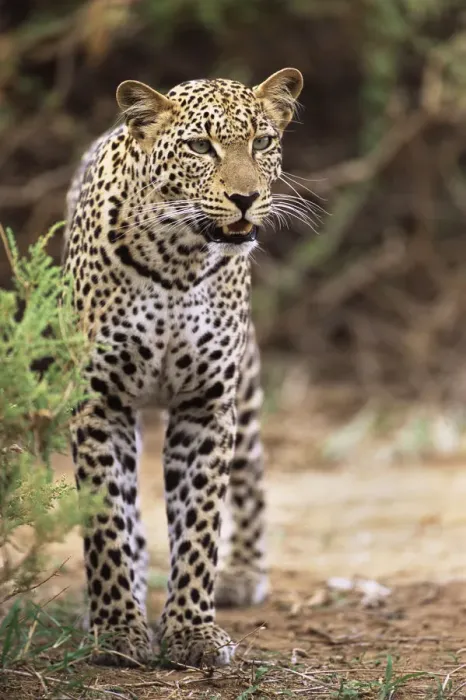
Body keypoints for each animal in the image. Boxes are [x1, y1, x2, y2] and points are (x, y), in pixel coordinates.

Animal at [63, 67, 303, 668]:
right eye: (200, 147)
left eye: (262, 142)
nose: (245, 198)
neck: (177, 257)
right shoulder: (100, 401)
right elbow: (106, 520)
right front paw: (117, 630)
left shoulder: (206, 404)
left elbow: (199, 524)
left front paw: (193, 631)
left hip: (247, 390)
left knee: (252, 474)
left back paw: (243, 573)